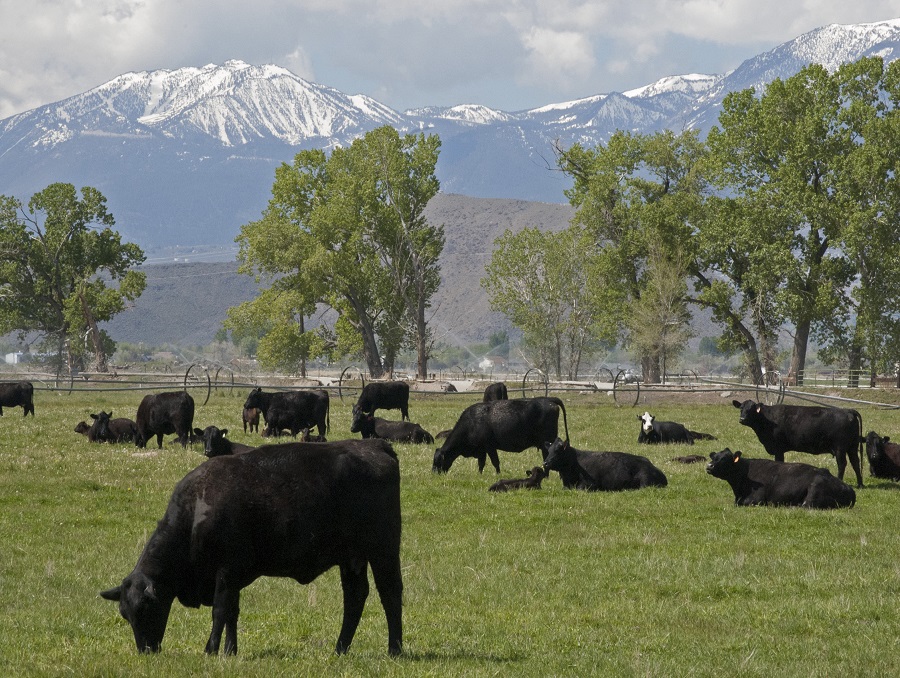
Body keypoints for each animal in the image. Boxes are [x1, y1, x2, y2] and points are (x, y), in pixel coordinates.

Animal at [99, 440, 404, 660]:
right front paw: (230, 651)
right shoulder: (232, 578)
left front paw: (211, 650)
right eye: (125, 614)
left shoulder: (226, 571)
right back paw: (340, 649)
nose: (146, 651)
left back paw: (395, 649)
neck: (197, 506)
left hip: (384, 551)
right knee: (355, 597)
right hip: (352, 558)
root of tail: (376, 445)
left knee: (390, 593)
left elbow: (220, 610)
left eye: (146, 608)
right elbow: (233, 612)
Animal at [430, 396, 568, 476]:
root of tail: (548, 400)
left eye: (437, 461)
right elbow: (481, 463)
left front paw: (498, 474)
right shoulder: (482, 450)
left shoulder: (490, 447)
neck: (472, 422)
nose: (434, 474)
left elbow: (495, 462)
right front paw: (479, 475)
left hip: (547, 443)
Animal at [704, 446, 856, 510]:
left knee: (806, 506)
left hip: (815, 488)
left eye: (724, 458)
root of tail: (849, 488)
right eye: (714, 456)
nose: (709, 466)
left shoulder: (756, 499)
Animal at [736, 398, 868, 488]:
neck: (767, 419)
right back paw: (860, 484)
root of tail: (848, 411)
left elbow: (779, 462)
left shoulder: (778, 448)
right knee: (855, 463)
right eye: (741, 408)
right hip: (852, 446)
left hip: (840, 448)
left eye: (751, 410)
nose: (742, 419)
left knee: (842, 464)